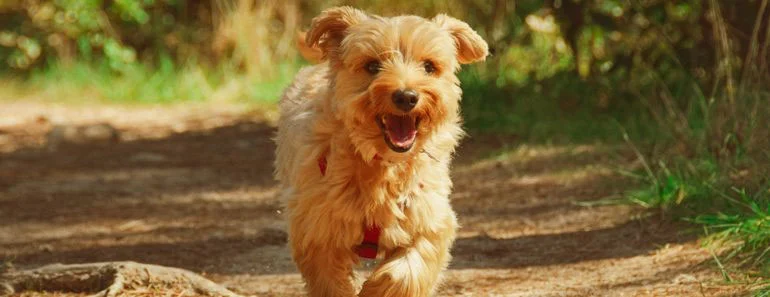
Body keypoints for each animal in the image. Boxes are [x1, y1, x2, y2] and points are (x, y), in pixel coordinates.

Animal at [272, 6, 484, 296]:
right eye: (372, 66)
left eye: (429, 66)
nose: (406, 96)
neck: (382, 165)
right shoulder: (318, 233)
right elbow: (332, 282)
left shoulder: (429, 222)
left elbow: (404, 273)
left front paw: (376, 288)